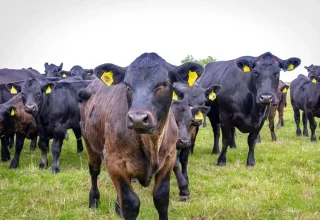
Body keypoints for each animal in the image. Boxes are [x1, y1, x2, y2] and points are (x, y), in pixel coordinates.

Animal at [80, 52, 204, 219]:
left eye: (163, 84)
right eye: (127, 85)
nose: (138, 118)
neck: (150, 142)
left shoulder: (168, 159)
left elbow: (161, 198)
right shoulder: (115, 162)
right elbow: (130, 202)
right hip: (88, 141)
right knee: (94, 170)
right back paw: (94, 200)